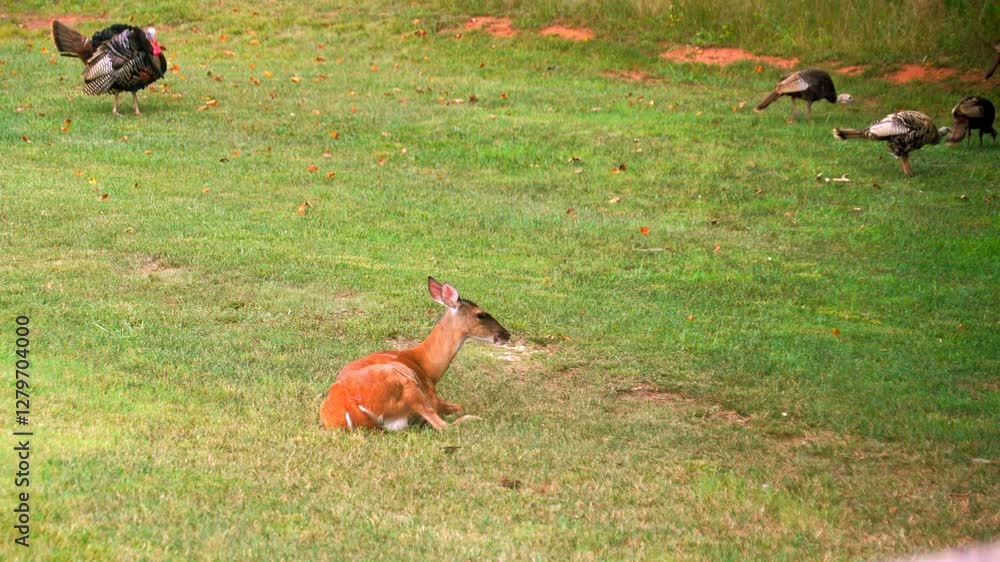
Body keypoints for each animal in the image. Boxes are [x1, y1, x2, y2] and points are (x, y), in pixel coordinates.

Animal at [320, 277, 511, 431]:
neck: (427, 367)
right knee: (443, 426)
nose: (506, 334)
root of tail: (349, 408)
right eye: (481, 314)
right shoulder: (433, 398)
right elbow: (458, 407)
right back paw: (475, 419)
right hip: (407, 384)